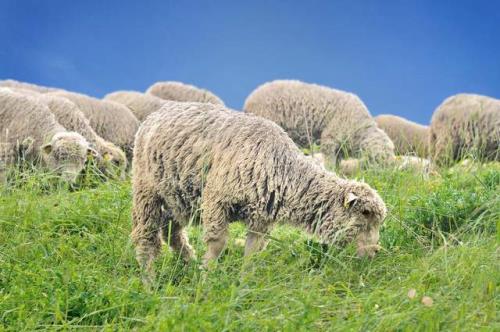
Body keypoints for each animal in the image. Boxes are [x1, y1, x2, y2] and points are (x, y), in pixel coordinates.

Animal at [130, 102, 386, 280]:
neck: (283, 169)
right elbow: (217, 244)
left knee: (171, 231)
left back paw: (189, 264)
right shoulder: (217, 200)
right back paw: (149, 282)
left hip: (179, 196)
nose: (375, 252)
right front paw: (207, 278)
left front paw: (243, 284)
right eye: (365, 214)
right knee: (146, 237)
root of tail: (157, 113)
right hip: (146, 190)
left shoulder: (261, 219)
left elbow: (252, 252)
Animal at [243, 79, 394, 167]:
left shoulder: (340, 148)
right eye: (381, 158)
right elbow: (329, 161)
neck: (359, 126)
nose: (391, 175)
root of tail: (250, 99)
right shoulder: (331, 136)